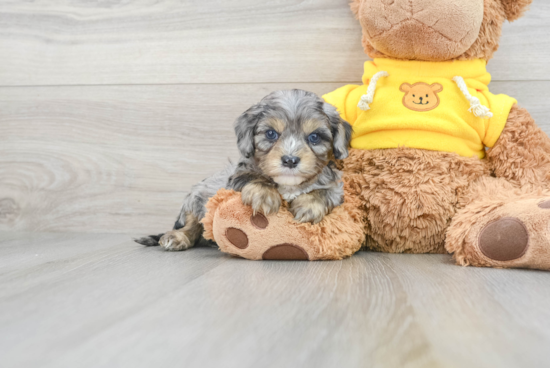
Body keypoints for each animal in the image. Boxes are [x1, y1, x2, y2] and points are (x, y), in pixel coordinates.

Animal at [137, 89, 354, 250]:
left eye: (314, 137)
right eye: (271, 134)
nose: (290, 160)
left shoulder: (336, 187)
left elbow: (323, 192)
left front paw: (309, 205)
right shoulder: (235, 178)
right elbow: (253, 178)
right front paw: (264, 195)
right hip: (197, 197)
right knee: (192, 224)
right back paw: (177, 237)